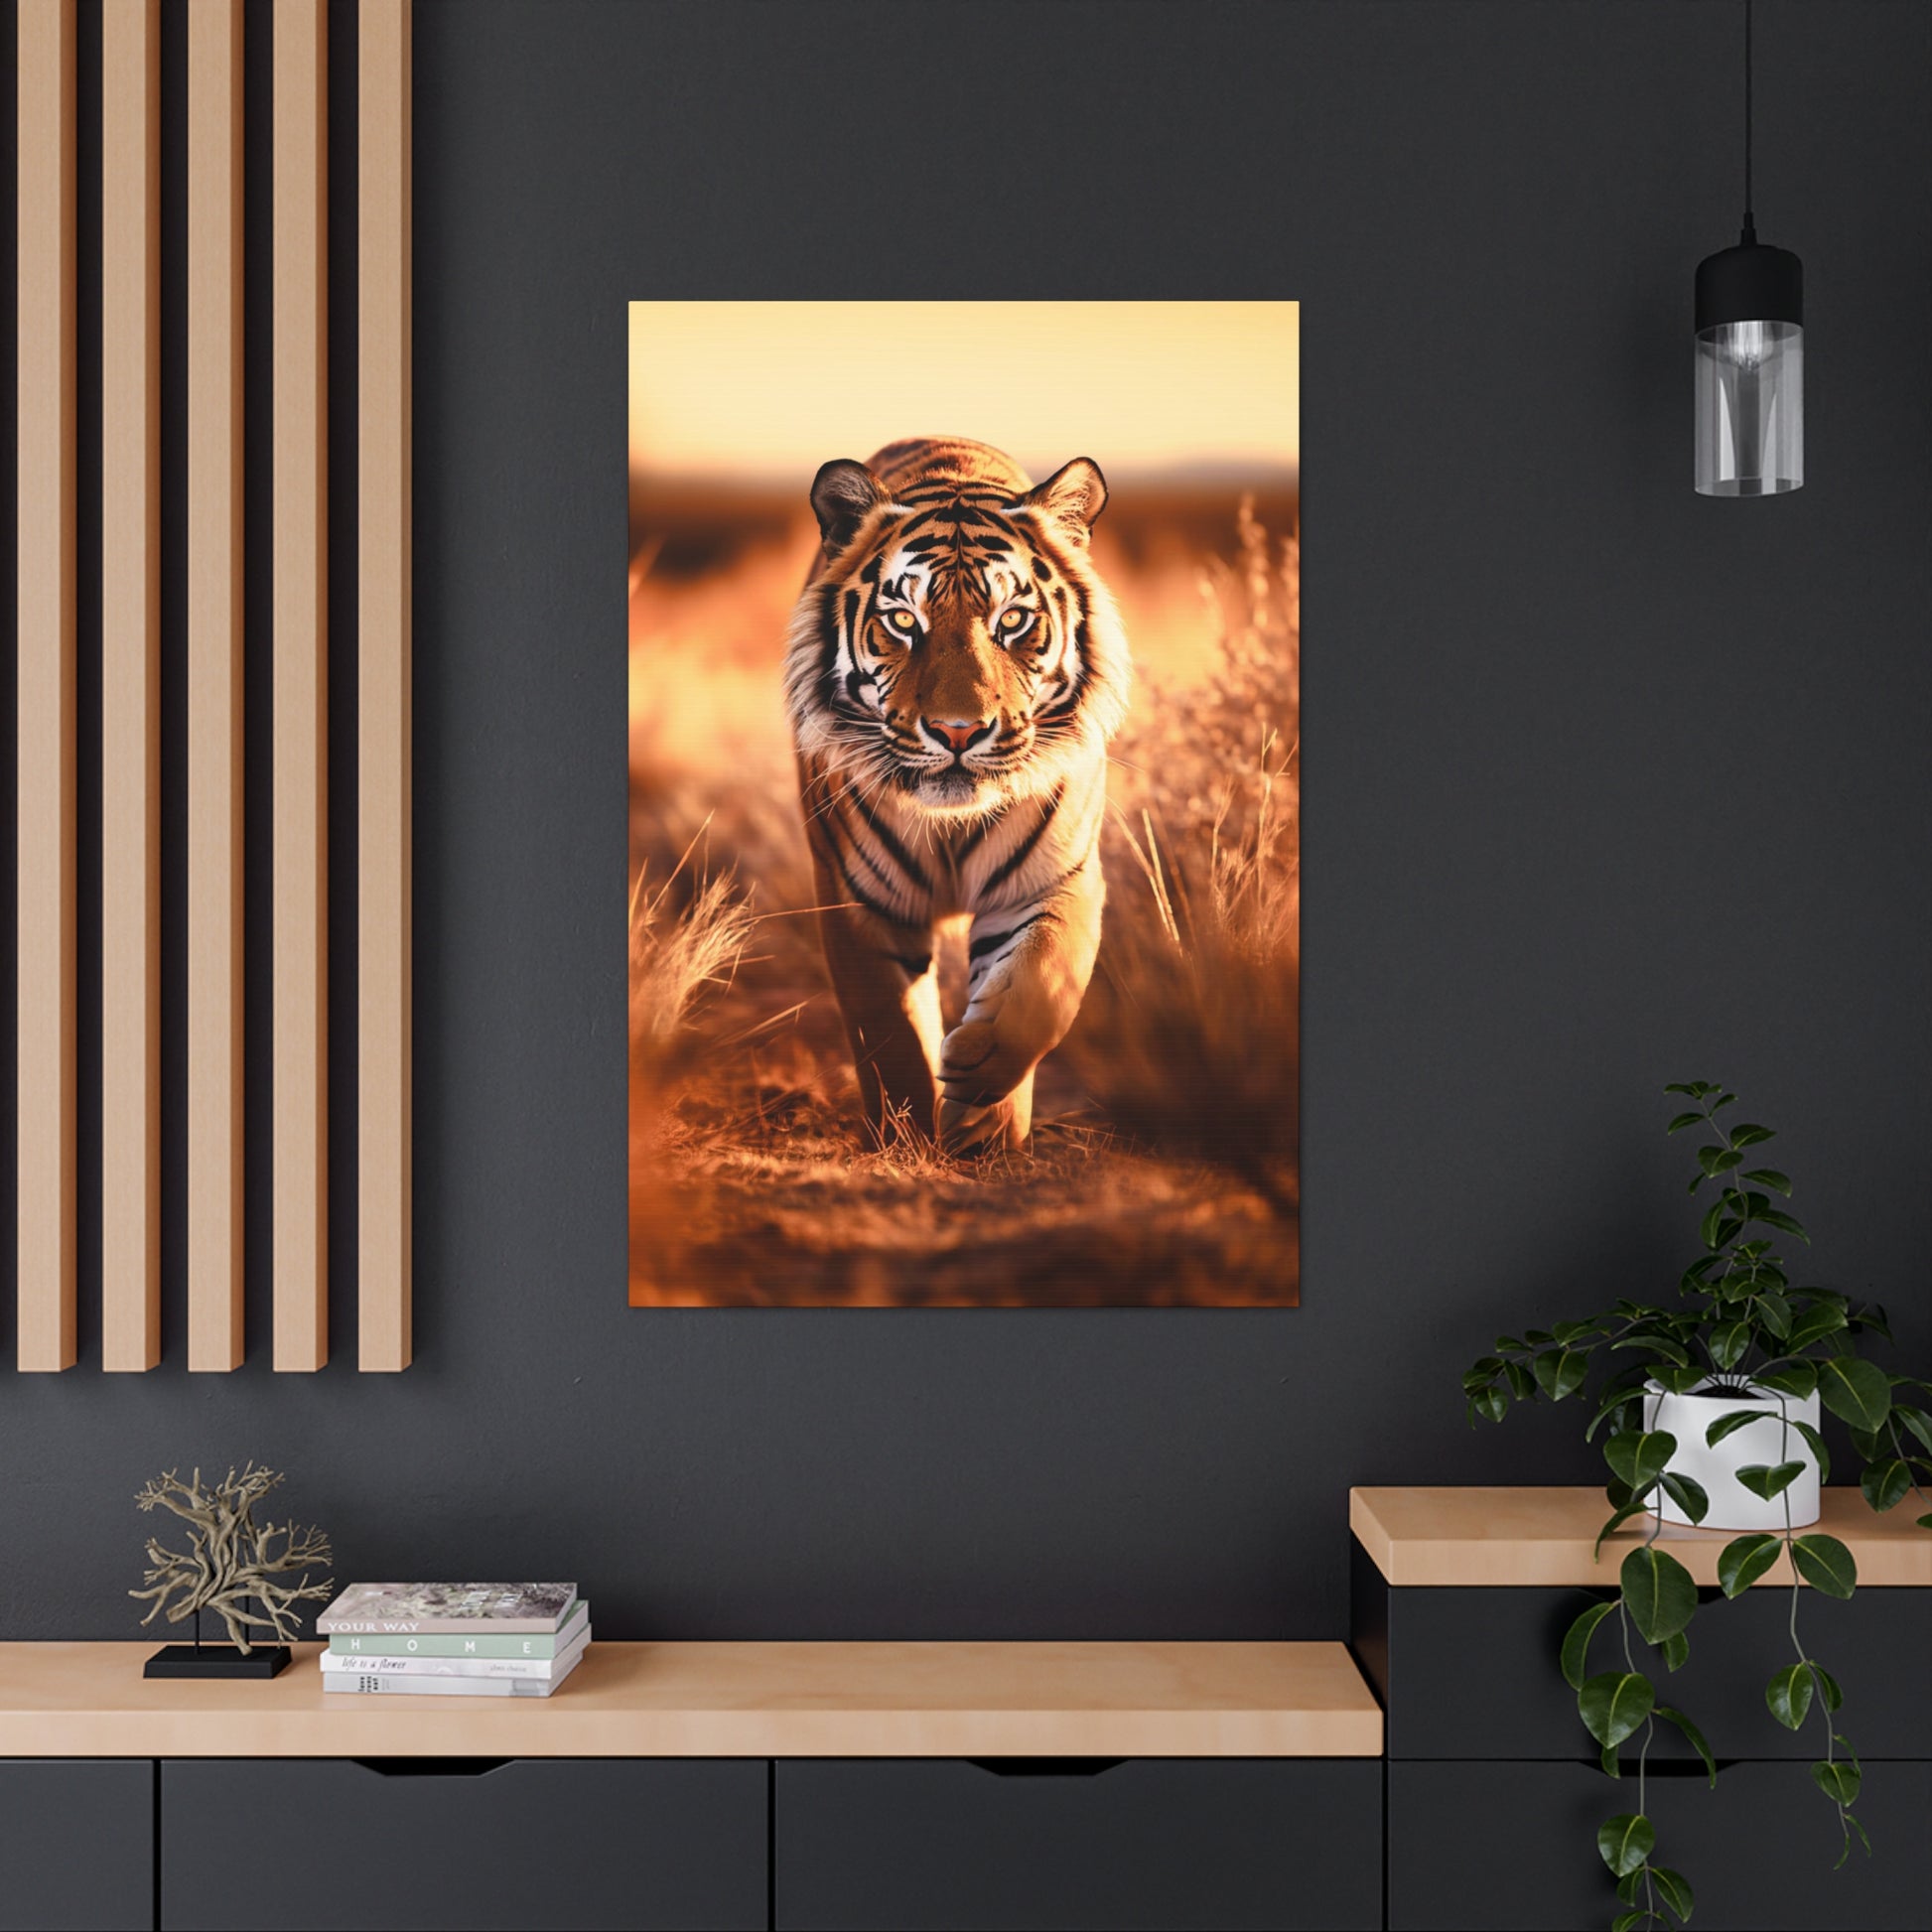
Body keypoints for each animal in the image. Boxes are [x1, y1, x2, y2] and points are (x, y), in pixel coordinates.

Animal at [784, 435, 1132, 1154]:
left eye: (1014, 620)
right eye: (901, 621)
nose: (957, 731)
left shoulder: (1055, 878)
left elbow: (1043, 983)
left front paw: (983, 1098)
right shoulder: (859, 900)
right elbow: (890, 1032)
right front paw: (906, 1135)